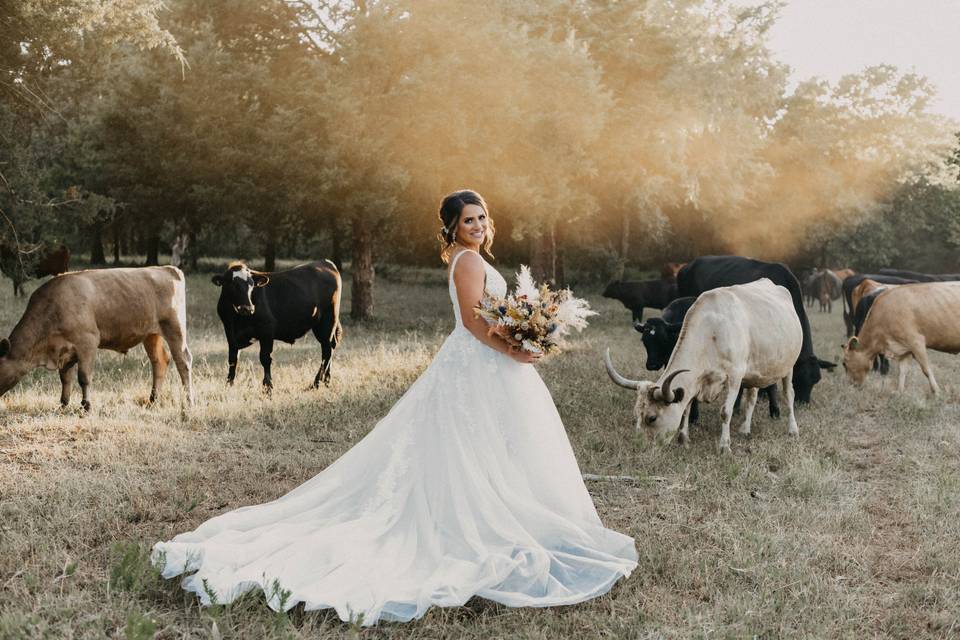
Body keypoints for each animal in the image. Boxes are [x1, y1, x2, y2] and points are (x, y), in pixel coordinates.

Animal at [0, 264, 195, 410]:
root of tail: (167, 268)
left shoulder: (88, 343)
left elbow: (83, 377)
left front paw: (86, 405)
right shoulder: (66, 351)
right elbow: (65, 378)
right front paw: (63, 404)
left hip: (175, 327)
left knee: (183, 361)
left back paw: (189, 401)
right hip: (150, 334)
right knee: (159, 361)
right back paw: (153, 400)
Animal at [212, 260, 344, 390]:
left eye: (252, 285)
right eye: (231, 284)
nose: (247, 308)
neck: (237, 320)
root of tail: (326, 263)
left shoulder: (267, 331)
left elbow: (265, 358)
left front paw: (268, 387)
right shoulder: (230, 333)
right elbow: (233, 360)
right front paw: (229, 384)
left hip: (327, 322)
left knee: (327, 350)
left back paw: (316, 383)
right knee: (331, 346)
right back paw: (326, 380)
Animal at [608, 280, 804, 456]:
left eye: (652, 418)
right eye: (636, 415)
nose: (639, 447)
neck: (711, 332)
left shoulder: (735, 377)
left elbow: (725, 412)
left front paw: (724, 447)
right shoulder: (696, 380)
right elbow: (686, 409)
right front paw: (683, 439)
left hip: (789, 366)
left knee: (789, 395)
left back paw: (793, 430)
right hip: (755, 371)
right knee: (752, 397)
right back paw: (745, 429)